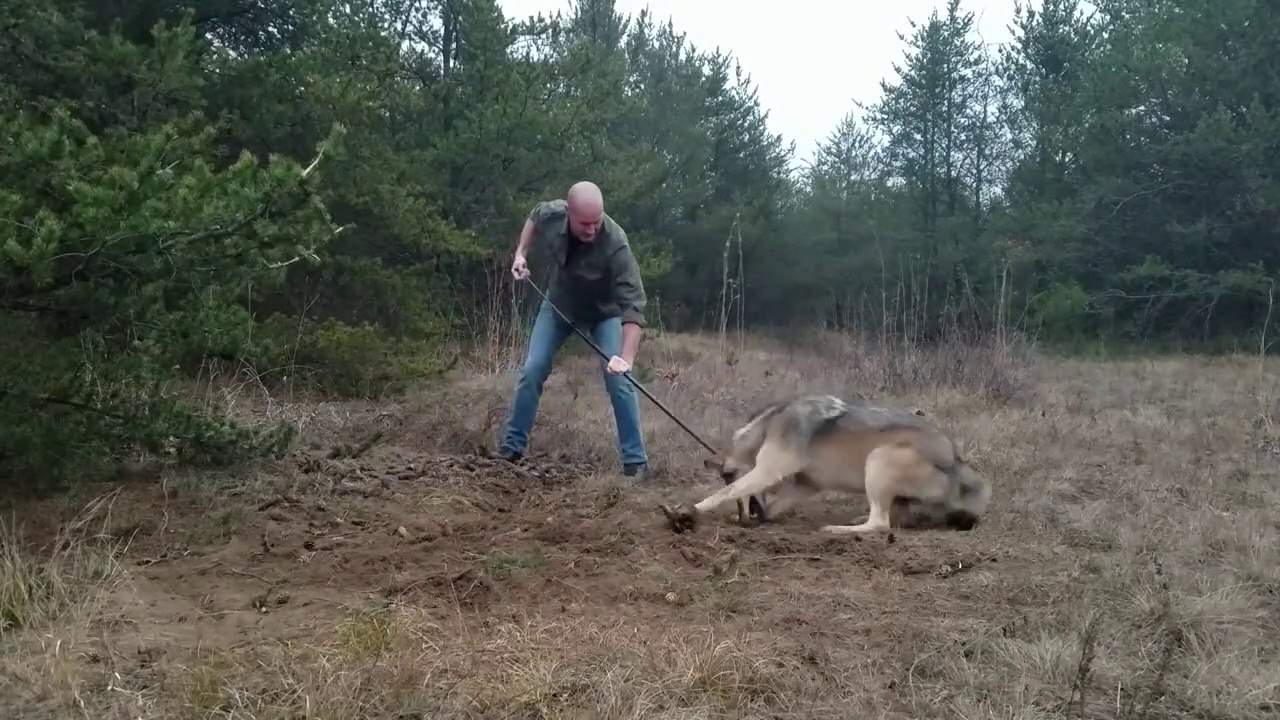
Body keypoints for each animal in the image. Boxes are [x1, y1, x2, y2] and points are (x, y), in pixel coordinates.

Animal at [659, 394, 992, 535]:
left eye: (727, 476)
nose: (746, 518)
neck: (767, 425)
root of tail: (956, 463)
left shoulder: (768, 470)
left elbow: (717, 497)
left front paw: (687, 511)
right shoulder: (805, 485)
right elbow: (773, 505)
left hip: (879, 458)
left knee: (880, 523)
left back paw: (838, 528)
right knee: (892, 516)